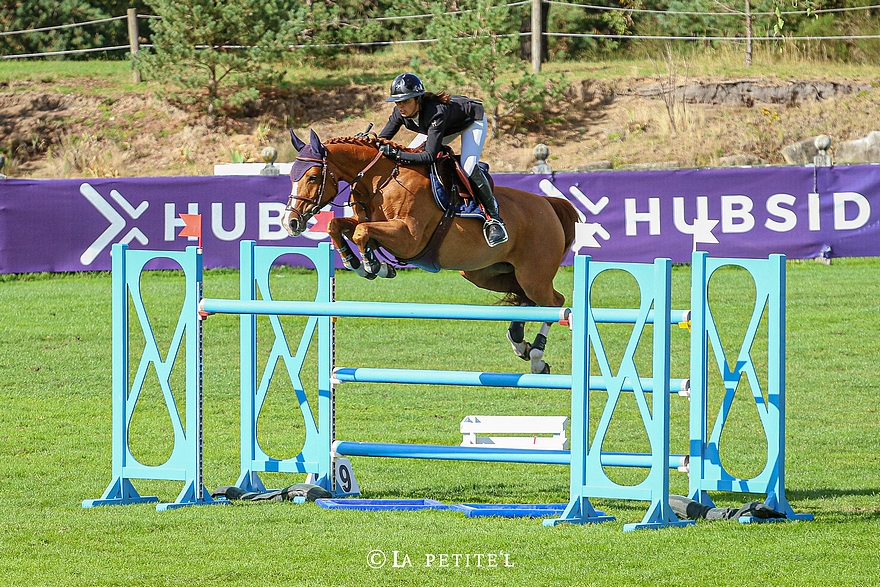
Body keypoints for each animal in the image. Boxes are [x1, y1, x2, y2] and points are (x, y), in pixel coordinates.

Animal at [282, 131, 580, 374]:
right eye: (291, 177)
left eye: (312, 177)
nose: (290, 222)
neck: (381, 180)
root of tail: (548, 204)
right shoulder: (373, 223)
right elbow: (339, 225)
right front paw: (356, 262)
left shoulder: (409, 238)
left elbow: (361, 232)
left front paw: (372, 265)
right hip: (485, 273)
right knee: (525, 299)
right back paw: (520, 344)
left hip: (533, 274)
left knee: (554, 302)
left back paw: (537, 356)